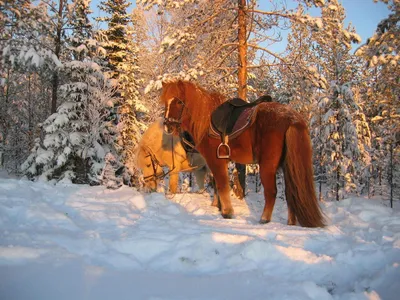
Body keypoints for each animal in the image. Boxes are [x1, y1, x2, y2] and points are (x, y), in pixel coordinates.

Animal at [162, 80, 324, 227]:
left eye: (179, 102)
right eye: (165, 103)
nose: (168, 126)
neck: (206, 120)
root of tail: (292, 119)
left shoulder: (215, 161)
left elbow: (222, 185)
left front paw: (227, 212)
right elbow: (216, 184)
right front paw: (218, 207)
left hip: (267, 167)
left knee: (271, 192)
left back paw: (264, 219)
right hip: (288, 166)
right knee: (292, 192)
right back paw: (291, 222)